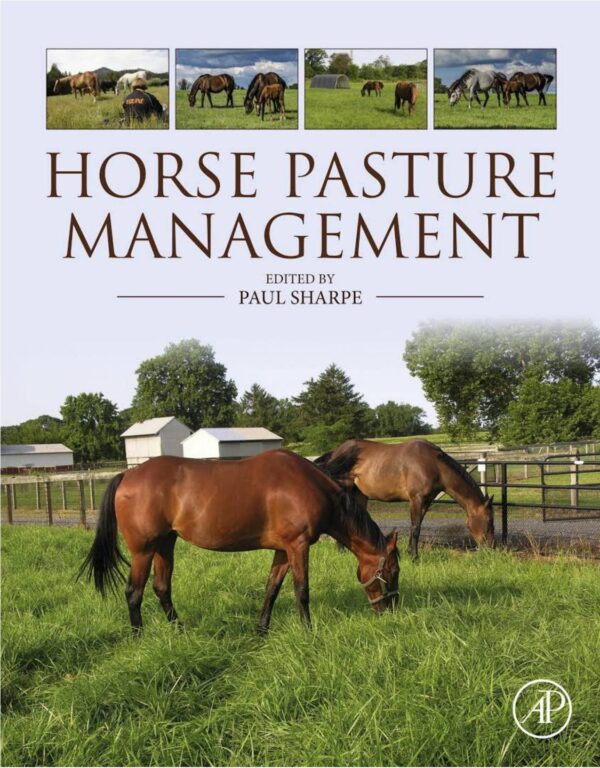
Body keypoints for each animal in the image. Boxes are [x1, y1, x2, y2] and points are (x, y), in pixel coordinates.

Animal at [78, 450, 399, 634]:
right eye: (393, 571)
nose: (391, 611)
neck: (310, 485)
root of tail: (127, 475)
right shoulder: (297, 546)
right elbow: (302, 591)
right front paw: (308, 632)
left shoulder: (283, 549)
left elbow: (272, 589)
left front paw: (262, 630)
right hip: (143, 551)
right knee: (134, 593)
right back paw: (139, 637)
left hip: (165, 545)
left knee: (161, 588)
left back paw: (179, 630)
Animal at [315, 439, 495, 560]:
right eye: (488, 521)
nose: (490, 548)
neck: (434, 464)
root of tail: (336, 452)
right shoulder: (416, 499)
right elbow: (415, 528)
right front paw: (414, 557)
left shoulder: (426, 502)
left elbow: (417, 526)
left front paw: (410, 553)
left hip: (360, 494)